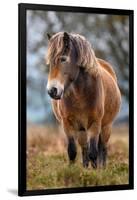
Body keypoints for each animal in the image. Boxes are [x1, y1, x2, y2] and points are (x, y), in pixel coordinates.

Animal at [46, 31, 121, 169]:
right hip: (81, 129)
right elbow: (72, 151)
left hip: (106, 126)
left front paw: (96, 172)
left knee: (103, 148)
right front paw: (72, 172)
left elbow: (94, 153)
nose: (52, 90)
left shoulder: (95, 124)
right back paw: (85, 168)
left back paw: (103, 169)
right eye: (50, 63)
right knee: (84, 148)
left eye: (63, 59)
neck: (80, 95)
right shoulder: (67, 124)